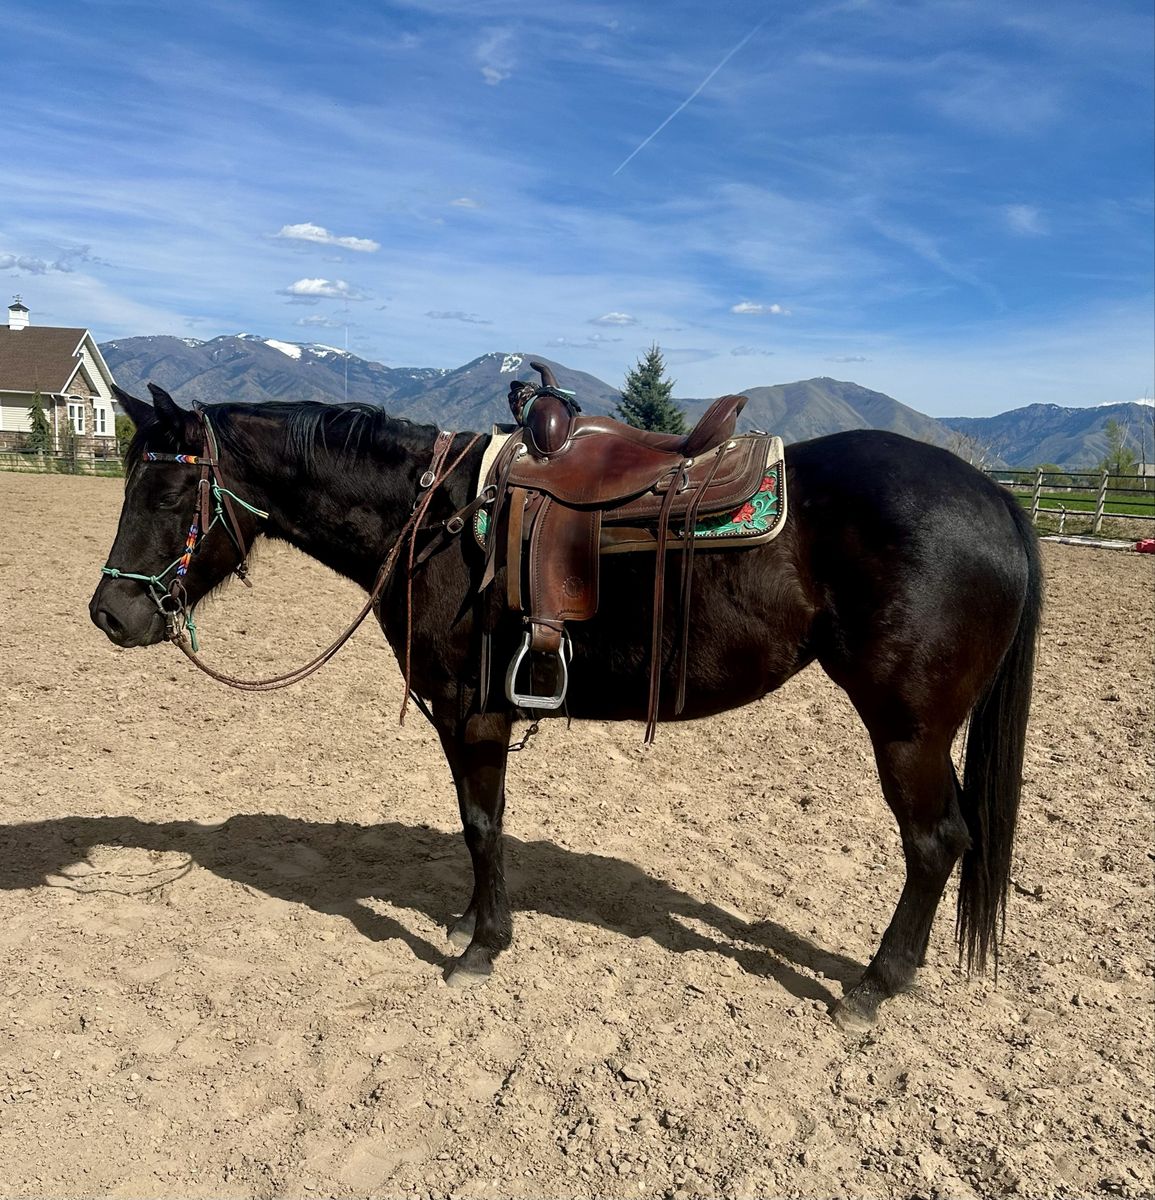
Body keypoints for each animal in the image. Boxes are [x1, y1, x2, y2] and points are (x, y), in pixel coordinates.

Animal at [90, 383, 1042, 1031]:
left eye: (168, 494)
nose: (112, 614)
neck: (435, 519)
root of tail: (994, 496)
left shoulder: (472, 716)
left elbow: (481, 823)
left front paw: (482, 946)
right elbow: (474, 822)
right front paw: (468, 919)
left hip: (907, 731)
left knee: (936, 841)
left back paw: (872, 987)